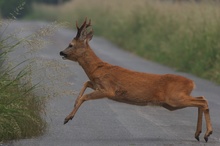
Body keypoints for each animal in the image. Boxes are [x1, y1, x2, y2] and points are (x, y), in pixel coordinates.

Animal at [59, 18, 212, 143]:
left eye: (71, 44)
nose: (61, 52)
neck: (97, 69)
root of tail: (192, 83)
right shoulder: (98, 85)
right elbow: (85, 84)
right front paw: (73, 104)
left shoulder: (109, 90)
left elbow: (85, 96)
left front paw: (67, 118)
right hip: (175, 101)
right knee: (201, 99)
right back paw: (198, 134)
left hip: (174, 98)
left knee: (203, 101)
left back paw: (207, 133)